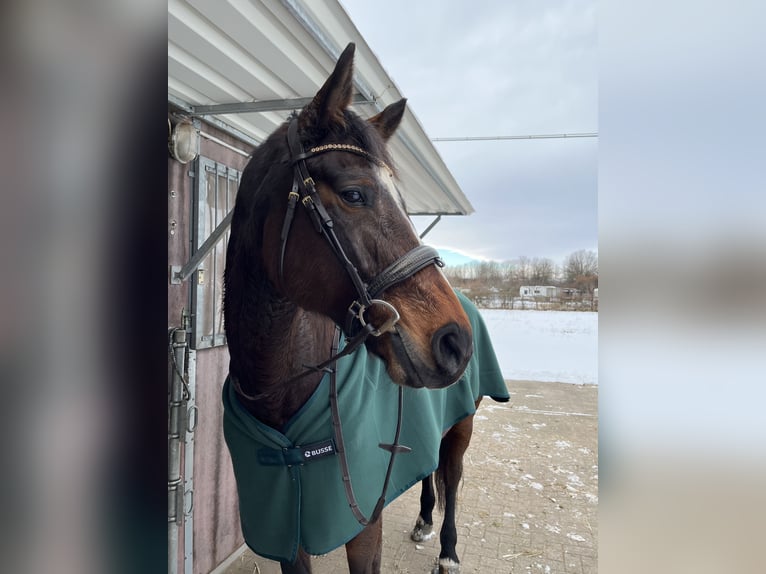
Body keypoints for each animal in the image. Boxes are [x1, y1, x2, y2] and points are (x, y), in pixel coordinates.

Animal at [224, 42, 510, 572]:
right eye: (354, 193)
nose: (455, 342)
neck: (278, 393)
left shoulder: (363, 529)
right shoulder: (289, 536)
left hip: (462, 424)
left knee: (452, 475)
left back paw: (447, 549)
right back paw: (423, 521)